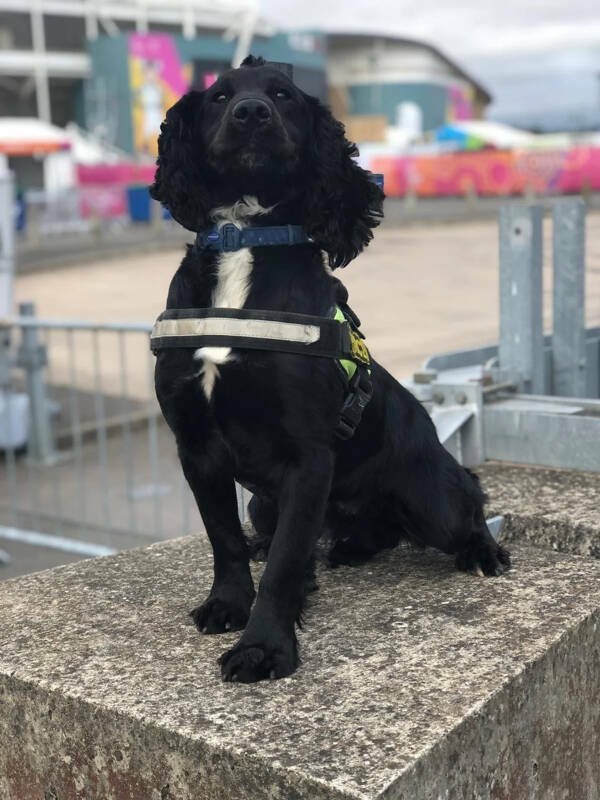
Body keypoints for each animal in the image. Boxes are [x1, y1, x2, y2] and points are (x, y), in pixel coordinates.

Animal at [151, 54, 510, 680]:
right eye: (219, 97)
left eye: (283, 96)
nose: (251, 113)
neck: (246, 237)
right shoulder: (196, 445)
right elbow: (226, 540)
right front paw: (228, 604)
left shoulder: (307, 455)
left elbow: (284, 567)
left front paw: (264, 647)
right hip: (264, 504)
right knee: (341, 534)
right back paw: (344, 547)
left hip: (433, 498)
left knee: (468, 506)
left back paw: (483, 552)